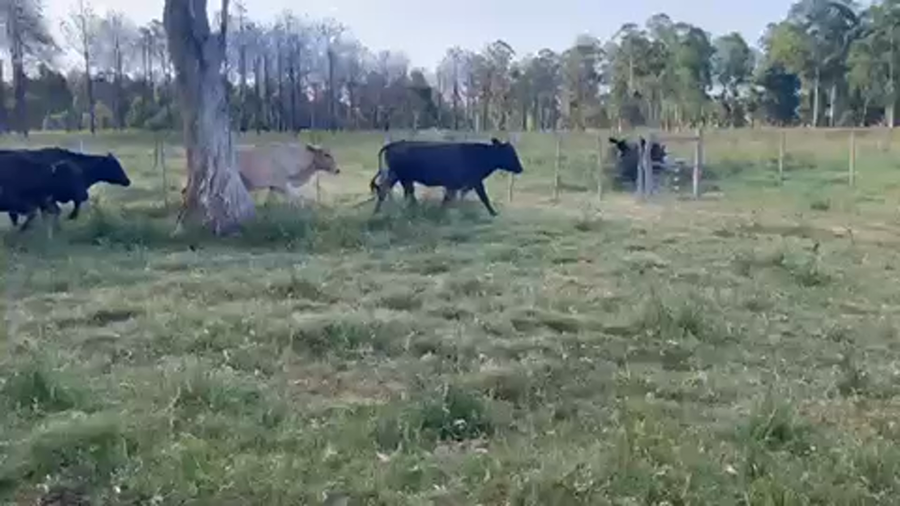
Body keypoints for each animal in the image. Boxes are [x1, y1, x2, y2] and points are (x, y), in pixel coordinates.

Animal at [370, 138, 524, 216]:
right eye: (510, 153)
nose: (520, 168)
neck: (479, 155)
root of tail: (394, 144)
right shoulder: (474, 181)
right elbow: (483, 197)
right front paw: (494, 213)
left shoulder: (458, 184)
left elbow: (450, 199)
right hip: (402, 175)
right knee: (400, 192)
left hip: (396, 175)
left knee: (387, 190)